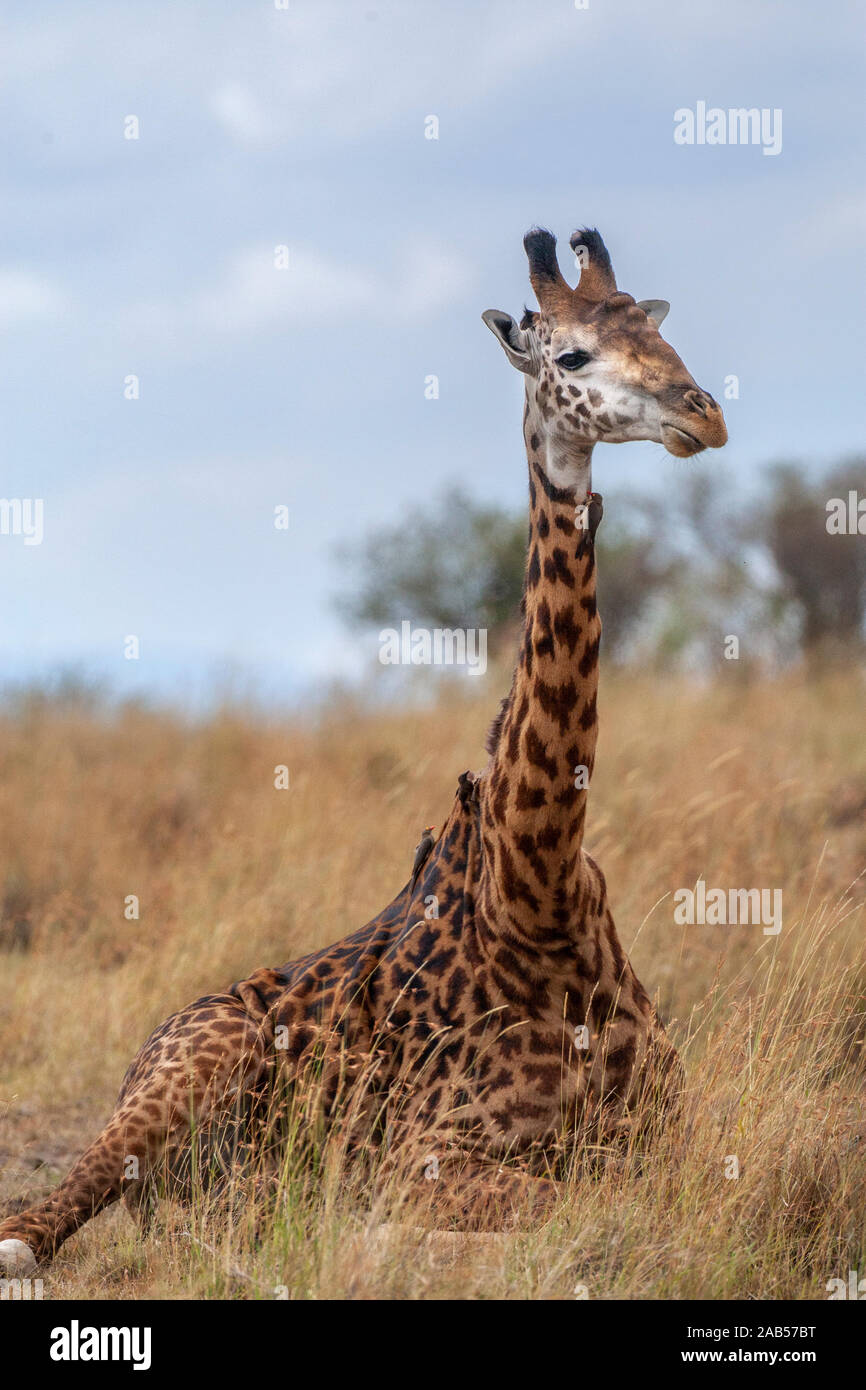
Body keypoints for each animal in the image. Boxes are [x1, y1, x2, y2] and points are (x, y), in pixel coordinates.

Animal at [0, 222, 722, 1273]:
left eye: (661, 331)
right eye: (573, 356)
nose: (704, 413)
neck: (538, 890)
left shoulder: (679, 1128)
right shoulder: (428, 1151)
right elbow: (574, 1213)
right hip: (185, 1071)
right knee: (42, 1222)